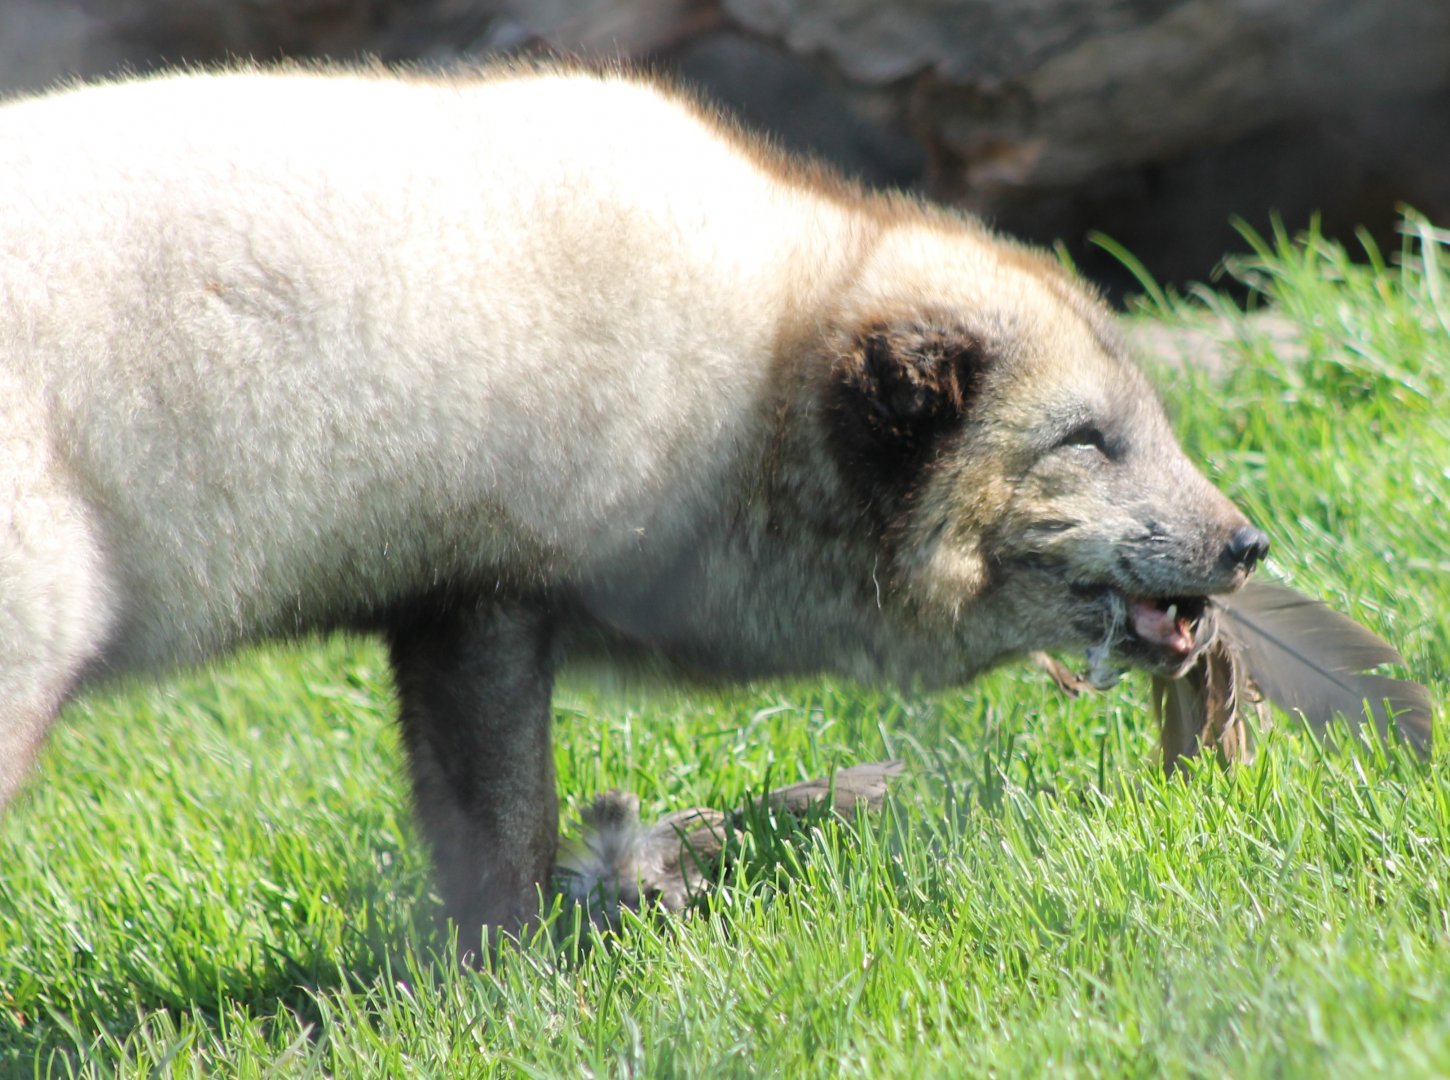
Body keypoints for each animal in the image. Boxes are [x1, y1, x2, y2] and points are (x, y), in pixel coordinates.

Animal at [0, 63, 1267, 945]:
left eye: (1145, 421)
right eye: (1085, 440)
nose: (1246, 544)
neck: (746, 371)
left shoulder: (444, 602)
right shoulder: (490, 588)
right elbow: (500, 825)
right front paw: (514, 979)